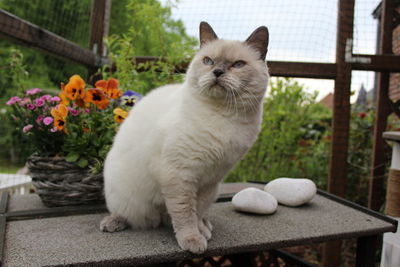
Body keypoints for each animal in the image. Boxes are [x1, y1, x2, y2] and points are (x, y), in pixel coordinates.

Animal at [100, 22, 268, 254]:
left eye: (238, 64)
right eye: (208, 61)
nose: (217, 72)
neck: (223, 116)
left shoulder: (210, 178)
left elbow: (197, 210)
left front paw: (200, 232)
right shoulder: (180, 175)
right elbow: (185, 213)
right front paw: (193, 240)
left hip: (213, 189)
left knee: (181, 215)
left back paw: (205, 226)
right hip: (127, 196)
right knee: (130, 214)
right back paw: (113, 223)